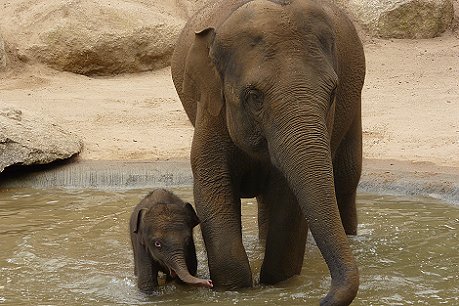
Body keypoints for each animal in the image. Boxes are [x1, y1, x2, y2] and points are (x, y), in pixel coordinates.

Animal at [171, 0, 364, 304]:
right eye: (254, 96)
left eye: (332, 92)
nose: (322, 298)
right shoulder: (211, 109)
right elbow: (212, 183)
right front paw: (236, 288)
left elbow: (288, 198)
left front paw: (277, 285)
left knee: (346, 178)